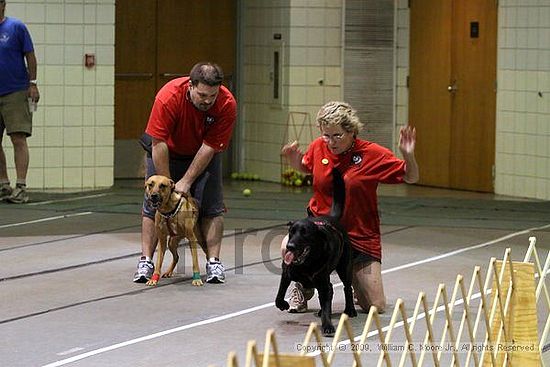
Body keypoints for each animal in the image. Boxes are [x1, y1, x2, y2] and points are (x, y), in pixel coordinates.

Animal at [276, 169, 358, 336]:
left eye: (305, 233)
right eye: (291, 232)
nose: (290, 246)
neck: (307, 264)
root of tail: (332, 217)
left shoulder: (323, 282)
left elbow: (327, 304)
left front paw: (327, 325)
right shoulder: (287, 272)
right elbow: (280, 292)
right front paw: (282, 304)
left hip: (345, 268)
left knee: (347, 287)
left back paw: (350, 310)